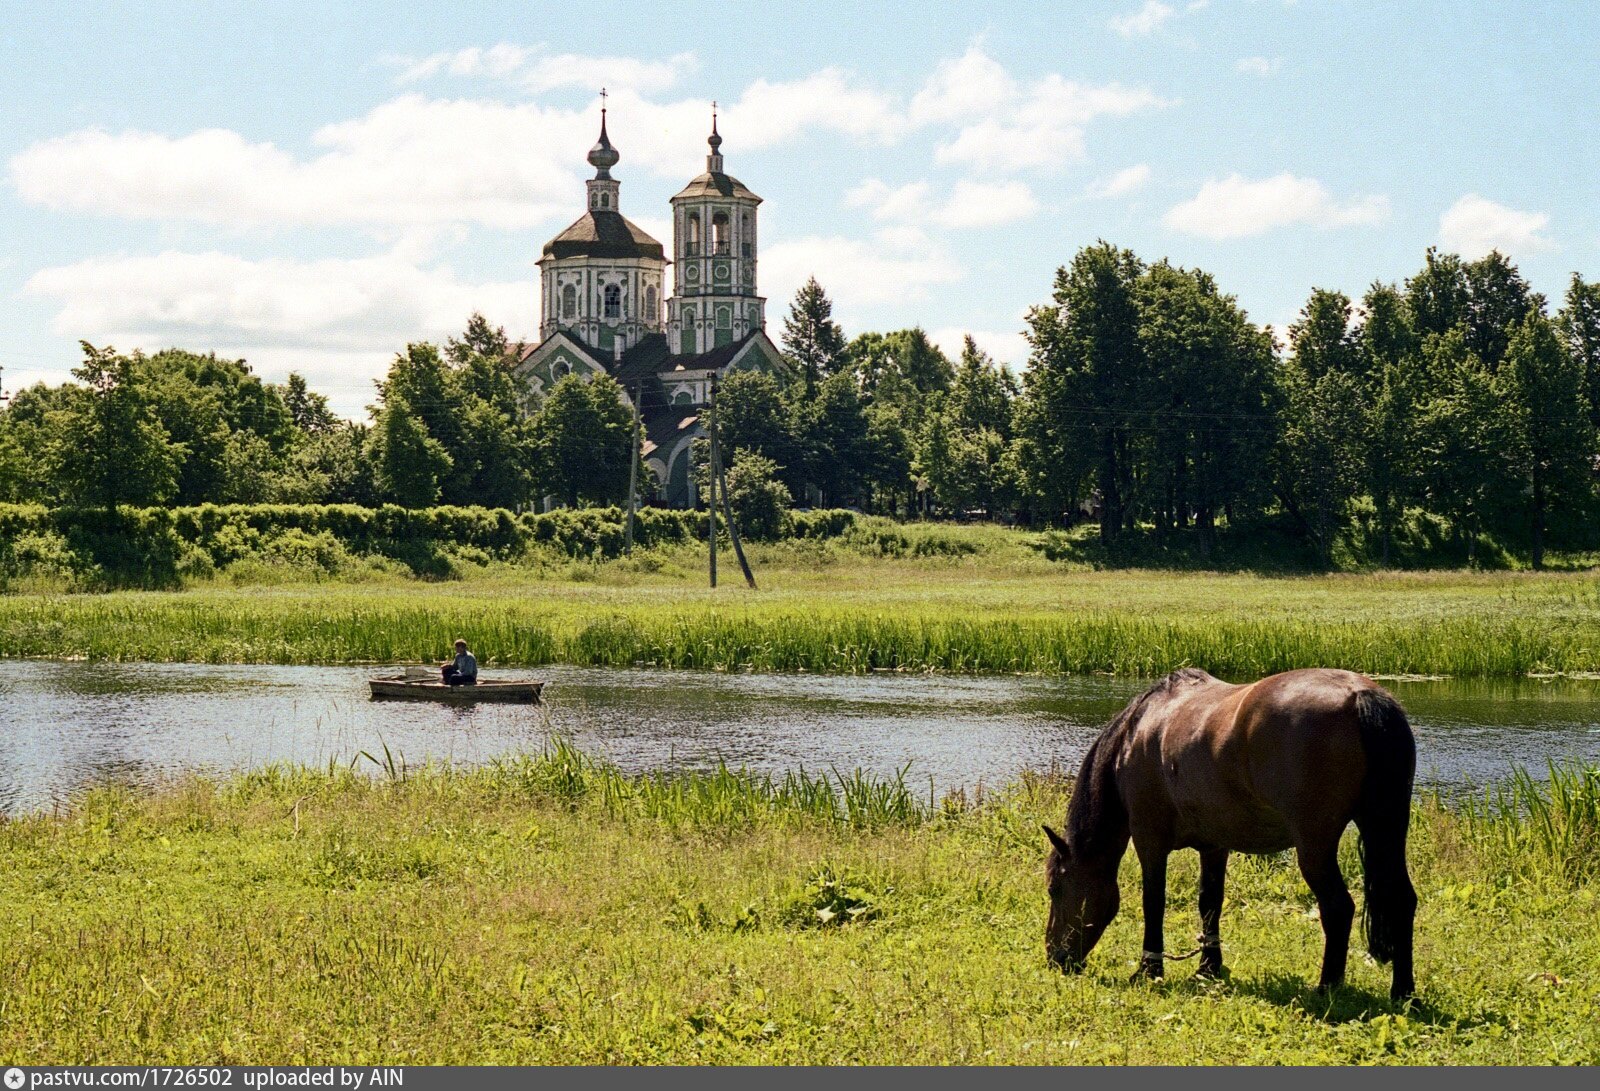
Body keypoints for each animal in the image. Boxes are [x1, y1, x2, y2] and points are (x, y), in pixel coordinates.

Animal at [1043, 659, 1420, 998]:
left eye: (1054, 889)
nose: (1054, 957)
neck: (1140, 730)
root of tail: (1359, 696)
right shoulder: (1214, 845)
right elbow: (1210, 902)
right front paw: (1209, 967)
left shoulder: (1149, 841)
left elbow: (1154, 902)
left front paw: (1149, 968)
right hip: (1386, 828)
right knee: (1402, 900)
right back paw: (1404, 992)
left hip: (1315, 847)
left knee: (1338, 907)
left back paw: (1327, 987)